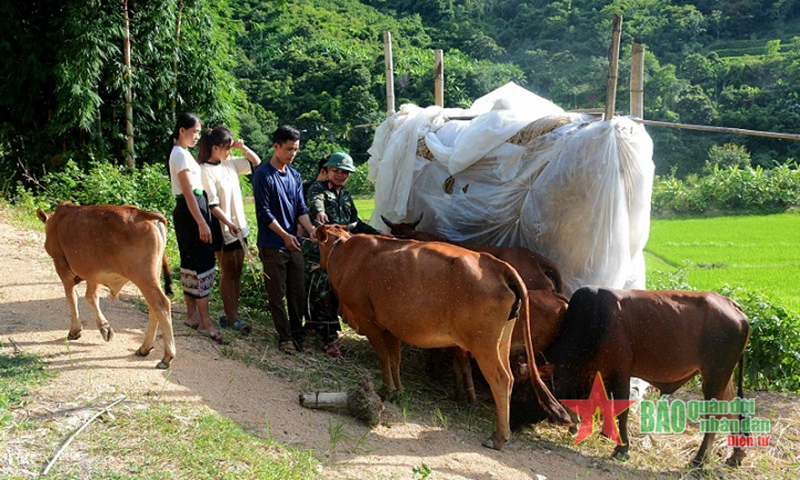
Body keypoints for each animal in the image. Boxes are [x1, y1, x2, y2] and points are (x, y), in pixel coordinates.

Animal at [37, 201, 175, 370]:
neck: (57, 221)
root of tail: (146, 215)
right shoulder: (92, 271)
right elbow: (91, 297)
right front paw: (105, 328)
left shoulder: (61, 264)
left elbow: (72, 297)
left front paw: (75, 330)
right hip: (151, 278)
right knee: (153, 307)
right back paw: (144, 348)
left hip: (144, 277)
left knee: (161, 305)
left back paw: (166, 357)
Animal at [316, 223, 572, 448]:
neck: (346, 252)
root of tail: (497, 264)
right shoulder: (393, 327)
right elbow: (395, 359)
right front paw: (398, 390)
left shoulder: (370, 322)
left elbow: (384, 357)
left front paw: (386, 390)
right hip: (501, 342)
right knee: (509, 377)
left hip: (484, 345)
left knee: (501, 380)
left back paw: (499, 437)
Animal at [512, 286, 752, 466]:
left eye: (523, 393)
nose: (514, 426)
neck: (592, 321)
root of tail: (733, 304)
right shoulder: (603, 373)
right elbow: (605, 405)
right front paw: (602, 434)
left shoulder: (621, 371)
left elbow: (621, 410)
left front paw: (622, 448)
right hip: (724, 377)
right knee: (733, 409)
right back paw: (736, 455)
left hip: (714, 376)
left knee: (716, 415)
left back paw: (700, 460)